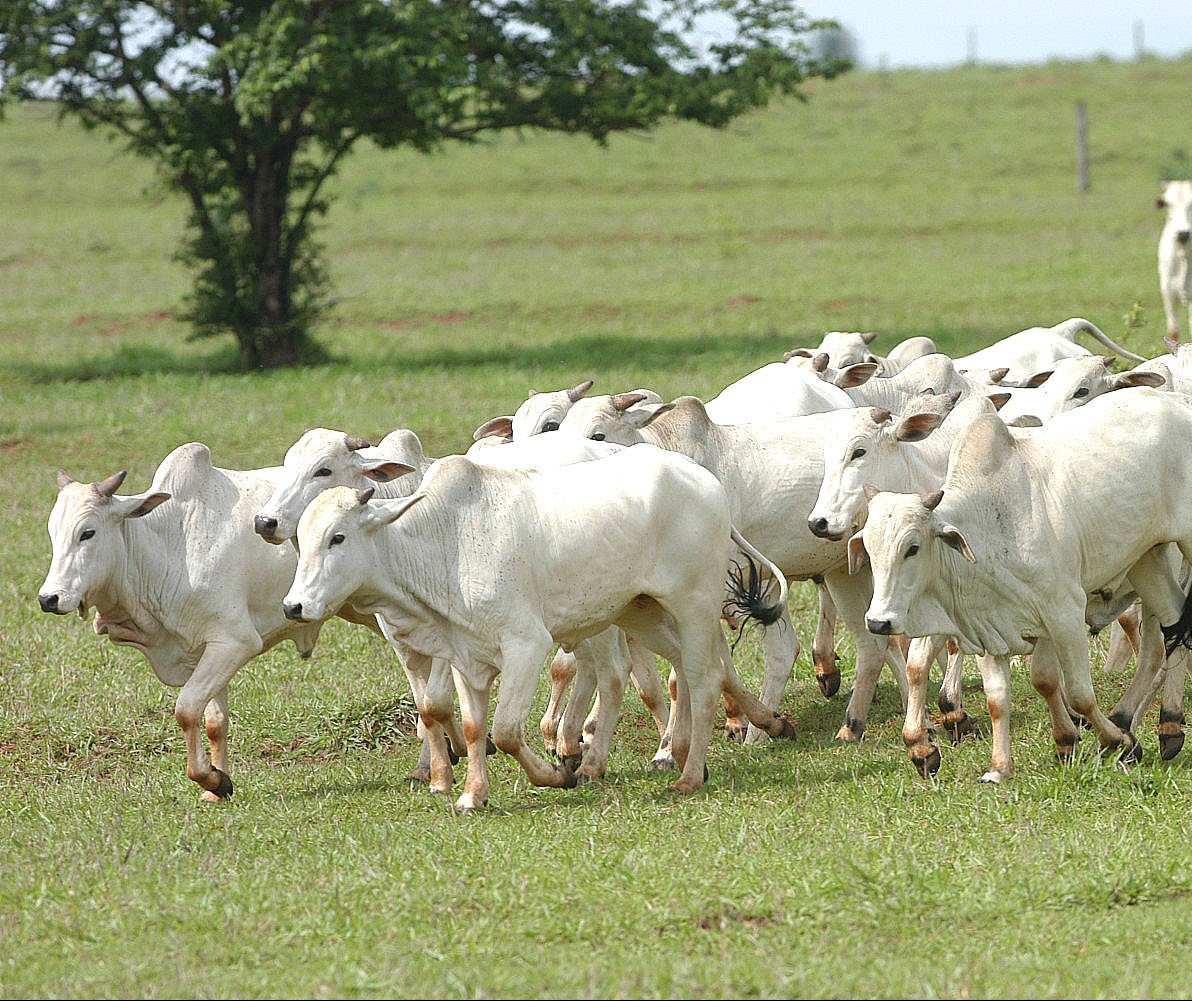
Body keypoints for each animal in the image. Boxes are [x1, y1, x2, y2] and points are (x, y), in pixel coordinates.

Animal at [39, 443, 326, 796]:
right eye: (54, 533)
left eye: (87, 533)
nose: (49, 598)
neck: (169, 548)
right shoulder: (204, 650)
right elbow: (215, 721)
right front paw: (216, 785)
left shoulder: (235, 642)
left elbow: (187, 710)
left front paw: (211, 779)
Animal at [283, 445, 796, 815]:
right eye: (302, 542)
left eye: (338, 537)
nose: (294, 605)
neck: (445, 544)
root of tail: (703, 479)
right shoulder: (464, 657)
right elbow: (473, 728)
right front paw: (472, 795)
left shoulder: (526, 645)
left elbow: (507, 731)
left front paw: (557, 775)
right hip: (641, 612)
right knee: (696, 671)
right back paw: (764, 725)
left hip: (693, 606)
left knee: (703, 679)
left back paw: (688, 774)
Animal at [853, 390, 1192, 781]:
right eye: (869, 549)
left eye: (912, 547)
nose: (878, 622)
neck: (992, 523)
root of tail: (1177, 400)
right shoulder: (989, 625)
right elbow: (1001, 696)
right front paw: (1000, 767)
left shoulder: (1064, 611)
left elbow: (1079, 693)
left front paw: (1117, 741)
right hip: (1146, 559)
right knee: (1175, 626)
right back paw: (1168, 727)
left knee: (1157, 645)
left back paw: (1146, 723)